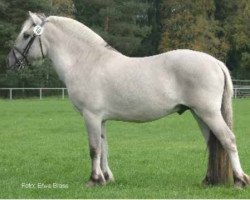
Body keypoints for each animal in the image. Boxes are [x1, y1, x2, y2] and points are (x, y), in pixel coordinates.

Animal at [6, 12, 249, 188]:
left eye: (26, 35)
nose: (10, 61)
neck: (86, 60)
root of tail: (215, 62)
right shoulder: (101, 119)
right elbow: (104, 147)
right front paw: (106, 178)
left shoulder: (90, 116)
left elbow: (94, 148)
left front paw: (94, 180)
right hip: (199, 114)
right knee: (212, 143)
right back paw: (209, 180)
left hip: (208, 113)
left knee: (228, 140)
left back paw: (240, 181)